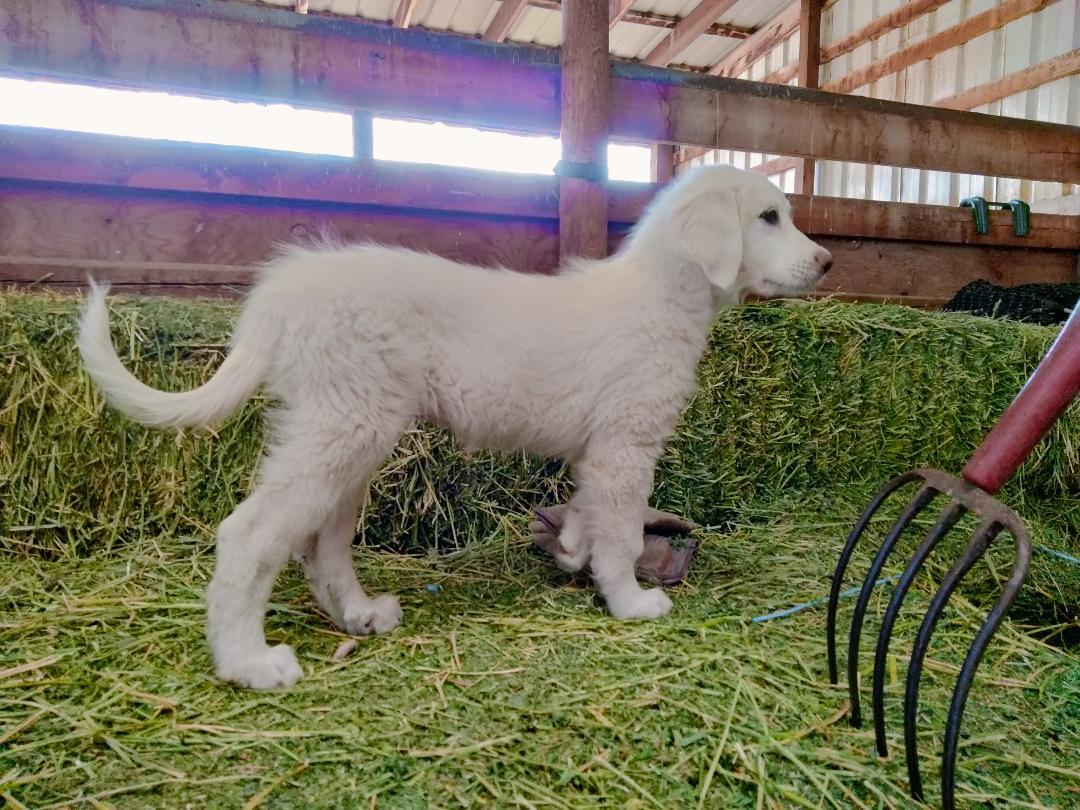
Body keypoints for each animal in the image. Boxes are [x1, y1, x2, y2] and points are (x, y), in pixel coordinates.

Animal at [78, 165, 833, 691]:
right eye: (769, 217)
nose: (828, 262)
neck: (664, 294)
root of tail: (283, 290)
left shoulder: (596, 453)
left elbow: (587, 513)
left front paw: (571, 553)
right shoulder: (627, 446)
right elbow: (621, 534)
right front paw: (629, 602)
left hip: (348, 434)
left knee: (322, 545)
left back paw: (360, 617)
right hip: (344, 427)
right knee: (251, 535)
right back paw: (249, 662)